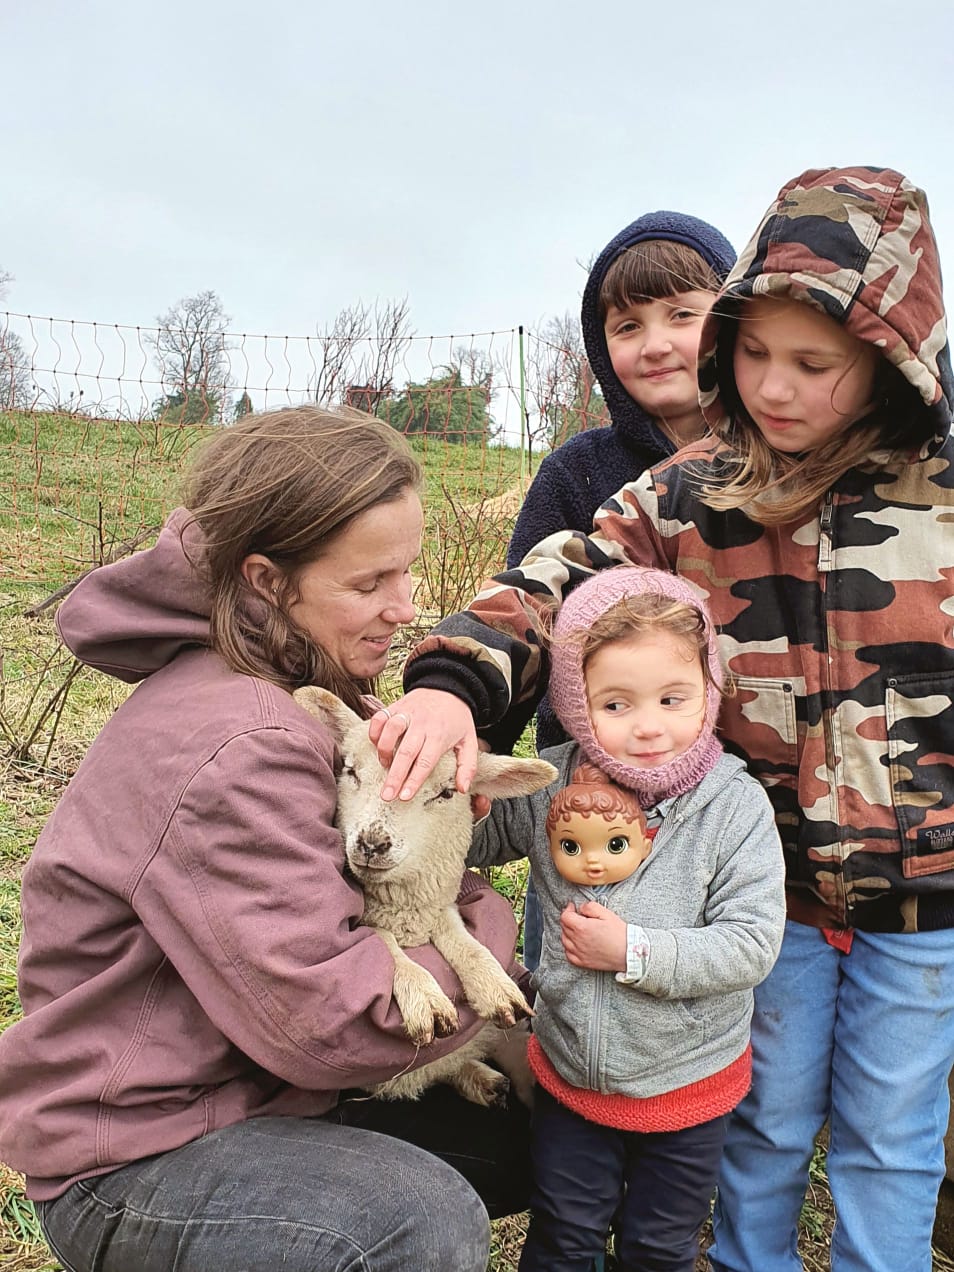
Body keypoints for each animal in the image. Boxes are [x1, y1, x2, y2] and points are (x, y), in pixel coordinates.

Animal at [293, 681, 559, 1109]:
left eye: (447, 793)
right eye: (349, 771)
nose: (372, 843)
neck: (404, 913)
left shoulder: (440, 902)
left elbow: (459, 935)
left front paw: (493, 983)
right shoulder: (371, 920)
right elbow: (380, 939)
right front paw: (424, 996)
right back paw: (481, 1079)